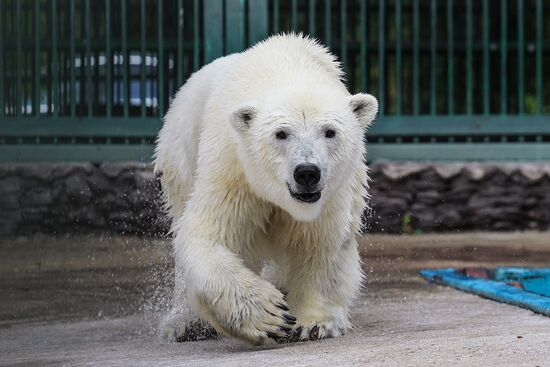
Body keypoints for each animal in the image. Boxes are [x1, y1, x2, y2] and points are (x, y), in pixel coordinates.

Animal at [155, 33, 380, 346]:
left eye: (330, 131)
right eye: (281, 133)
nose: (307, 172)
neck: (284, 66)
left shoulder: (331, 197)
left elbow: (319, 245)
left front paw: (314, 322)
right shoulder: (233, 169)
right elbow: (207, 235)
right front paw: (268, 315)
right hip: (180, 155)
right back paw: (186, 323)